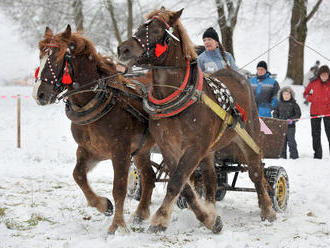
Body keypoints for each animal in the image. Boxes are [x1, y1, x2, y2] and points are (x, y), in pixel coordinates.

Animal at [32, 25, 157, 234]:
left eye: (57, 58)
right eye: (40, 57)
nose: (39, 94)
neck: (98, 100)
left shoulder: (120, 152)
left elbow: (119, 188)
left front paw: (118, 226)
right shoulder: (89, 150)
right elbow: (78, 175)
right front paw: (103, 205)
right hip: (142, 150)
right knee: (149, 176)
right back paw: (140, 214)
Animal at [117, 7, 278, 232]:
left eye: (157, 30)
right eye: (141, 26)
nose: (122, 49)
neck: (179, 96)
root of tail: (234, 72)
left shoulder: (195, 147)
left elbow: (176, 182)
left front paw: (160, 219)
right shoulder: (169, 147)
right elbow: (184, 184)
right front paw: (209, 218)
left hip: (248, 137)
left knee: (256, 172)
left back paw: (268, 210)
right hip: (209, 150)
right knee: (211, 179)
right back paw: (211, 207)